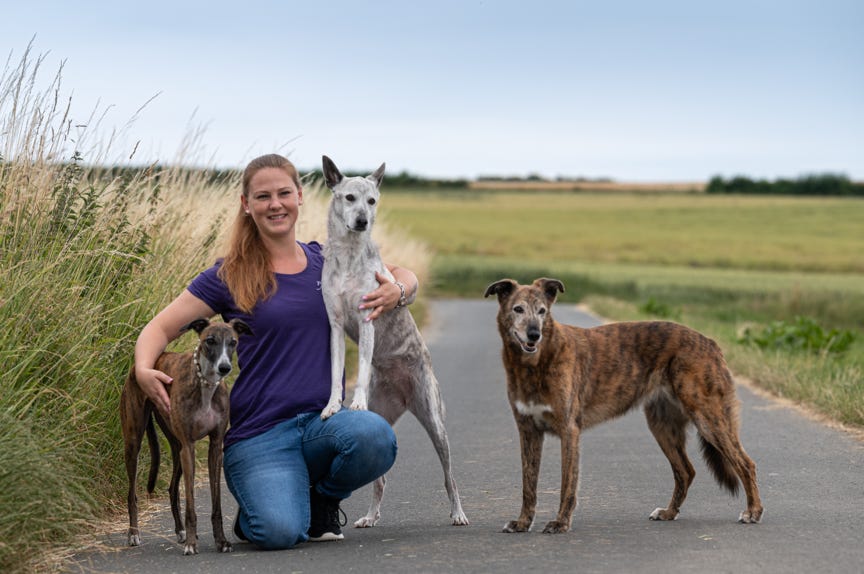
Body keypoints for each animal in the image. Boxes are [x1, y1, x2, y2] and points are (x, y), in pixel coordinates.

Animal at [120, 318, 251, 556]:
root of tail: (140, 365)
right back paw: (134, 533)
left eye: (234, 342)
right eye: (210, 340)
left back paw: (180, 530)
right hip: (134, 441)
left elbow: (216, 504)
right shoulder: (189, 447)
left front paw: (221, 541)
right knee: (132, 493)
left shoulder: (215, 447)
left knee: (173, 488)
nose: (225, 368)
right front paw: (192, 543)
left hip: (176, 446)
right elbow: (191, 504)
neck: (206, 385)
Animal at [320, 155, 470, 528]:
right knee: (381, 479)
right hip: (384, 414)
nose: (362, 221)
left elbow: (360, 367)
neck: (348, 256)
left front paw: (355, 404)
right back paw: (370, 516)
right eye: (349, 197)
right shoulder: (334, 326)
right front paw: (332, 407)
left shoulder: (367, 319)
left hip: (435, 421)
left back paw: (458, 513)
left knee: (450, 476)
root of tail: (404, 395)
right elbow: (335, 374)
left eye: (372, 201)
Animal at [486, 280, 764, 536]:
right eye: (518, 309)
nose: (534, 334)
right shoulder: (528, 432)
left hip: (708, 418)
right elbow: (528, 484)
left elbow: (567, 484)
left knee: (745, 463)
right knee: (686, 471)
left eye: (542, 311)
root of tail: (711, 342)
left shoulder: (569, 431)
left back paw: (753, 512)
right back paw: (669, 512)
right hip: (663, 427)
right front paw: (523, 522)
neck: (535, 362)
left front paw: (561, 523)